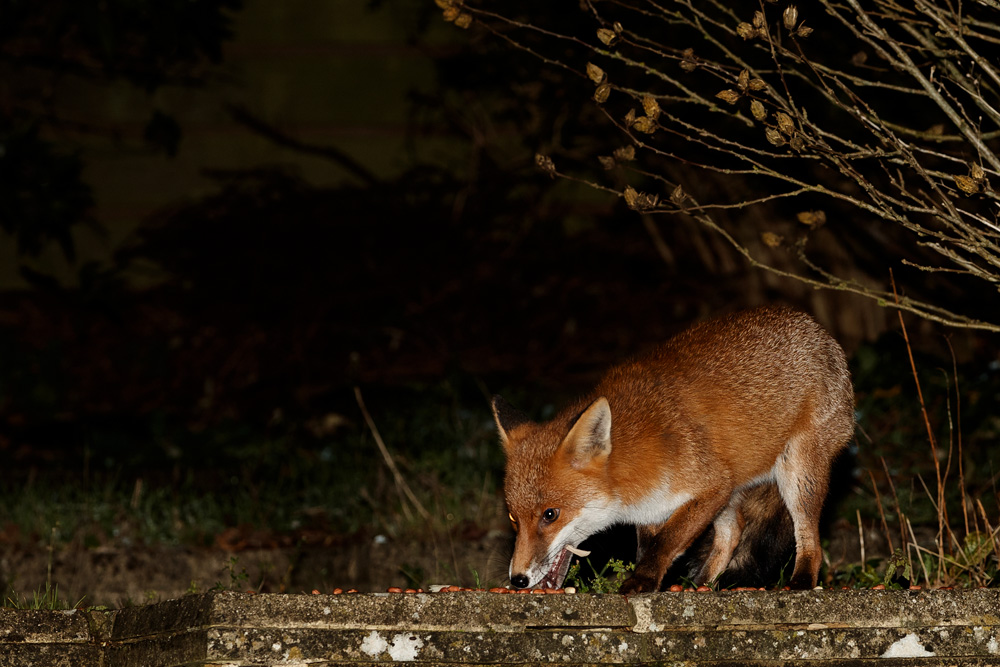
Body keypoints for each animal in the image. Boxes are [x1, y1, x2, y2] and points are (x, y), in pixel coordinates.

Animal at [491, 305, 854, 593]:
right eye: (512, 518)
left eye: (550, 515)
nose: (518, 579)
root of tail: (813, 325)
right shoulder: (659, 508)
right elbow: (650, 547)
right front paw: (655, 581)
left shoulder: (710, 485)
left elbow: (666, 543)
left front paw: (641, 582)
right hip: (731, 493)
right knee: (734, 532)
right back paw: (700, 586)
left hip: (797, 473)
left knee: (809, 537)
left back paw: (802, 580)